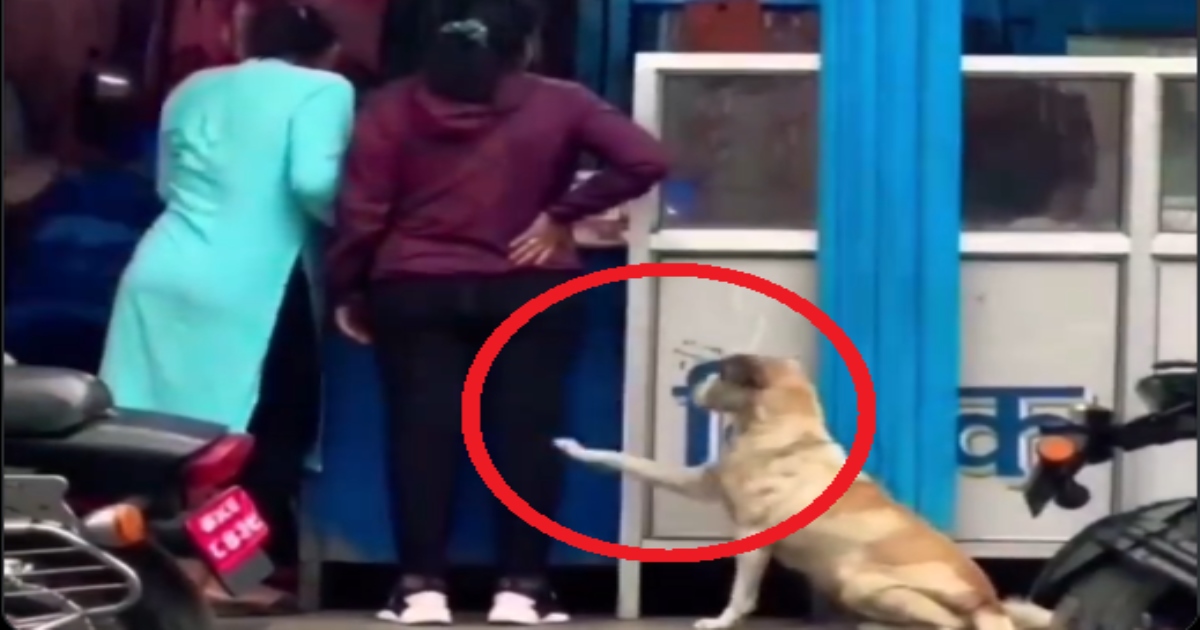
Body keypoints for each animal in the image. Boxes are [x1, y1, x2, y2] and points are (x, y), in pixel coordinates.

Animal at [556, 352, 1056, 628]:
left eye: (721, 373)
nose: (697, 385)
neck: (780, 426)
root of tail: (989, 598)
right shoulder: (701, 483)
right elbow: (629, 461)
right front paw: (576, 449)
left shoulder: (751, 540)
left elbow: (742, 594)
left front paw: (721, 622)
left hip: (859, 578)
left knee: (950, 623)